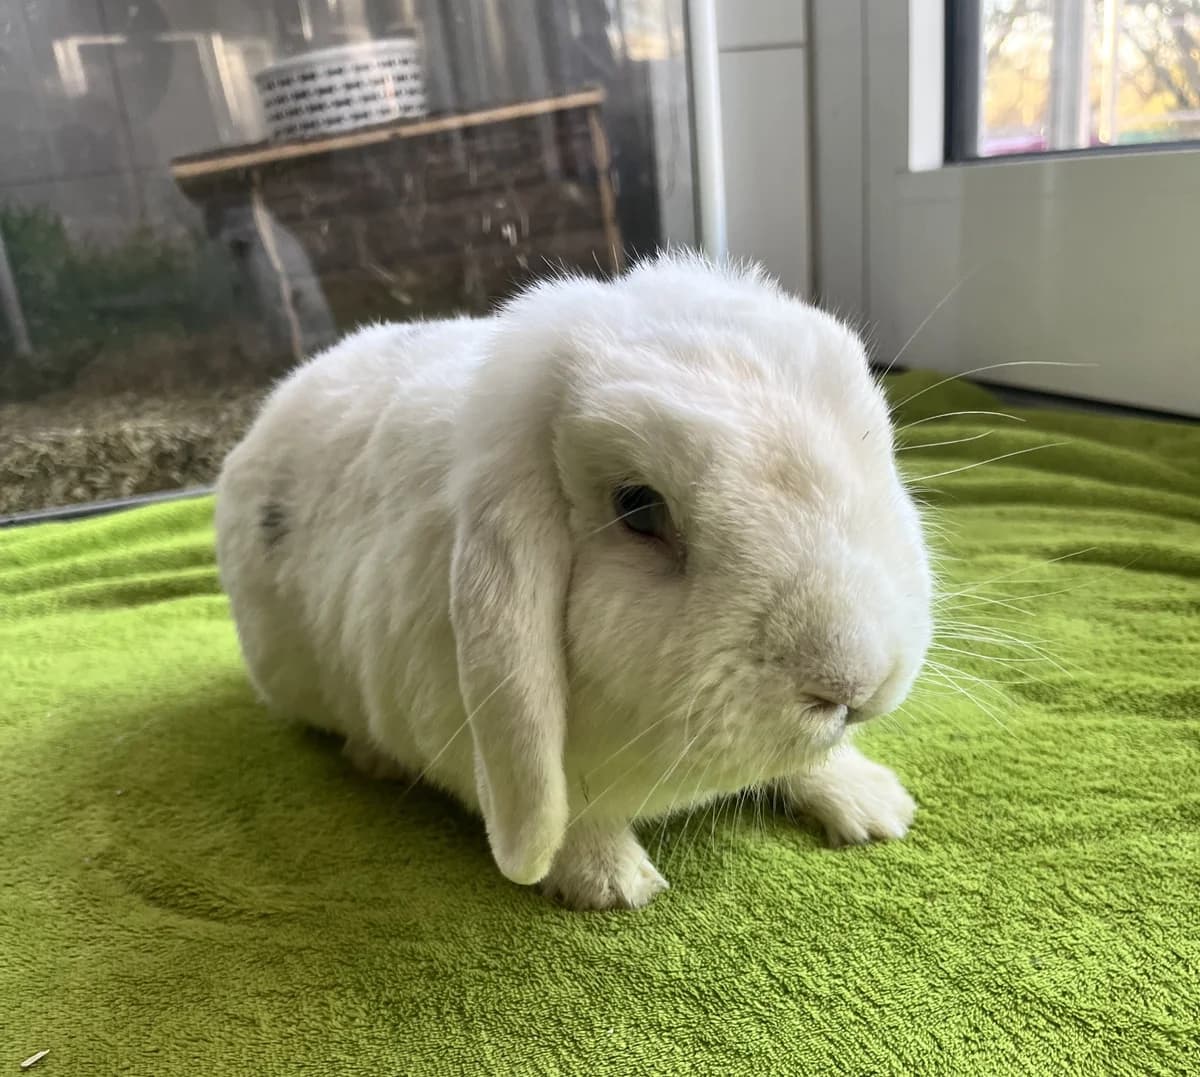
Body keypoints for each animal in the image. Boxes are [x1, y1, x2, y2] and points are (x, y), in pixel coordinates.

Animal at [214, 252, 932, 911]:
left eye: (867, 441)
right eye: (638, 508)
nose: (853, 687)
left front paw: (876, 808)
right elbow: (566, 814)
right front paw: (613, 884)